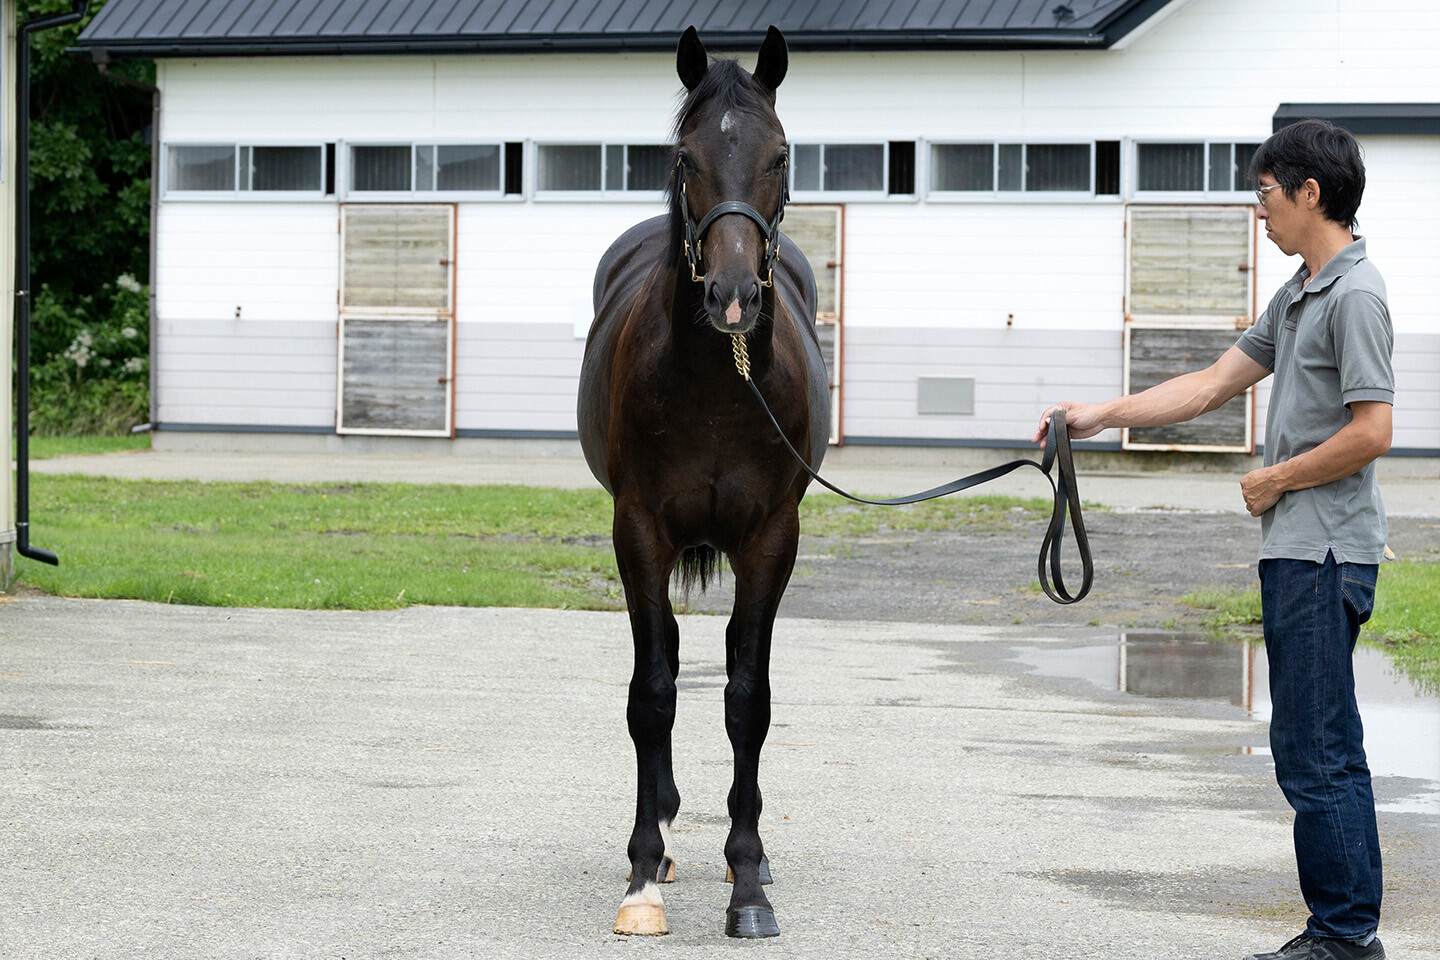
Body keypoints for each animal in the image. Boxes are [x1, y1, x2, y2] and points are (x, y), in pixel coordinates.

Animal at [576, 25, 829, 940]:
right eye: (685, 157)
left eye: (780, 154)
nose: (731, 296)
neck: (722, 383)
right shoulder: (639, 527)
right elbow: (652, 695)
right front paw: (642, 875)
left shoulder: (772, 536)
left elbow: (748, 699)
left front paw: (748, 881)